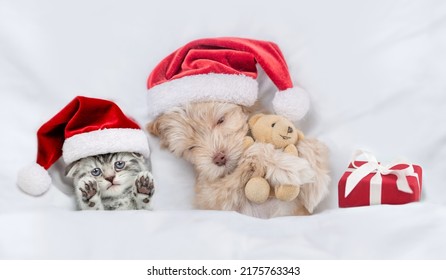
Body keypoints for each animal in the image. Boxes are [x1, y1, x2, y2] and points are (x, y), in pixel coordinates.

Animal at [148, 101, 330, 218]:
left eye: (221, 120)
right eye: (191, 148)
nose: (219, 158)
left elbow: (311, 144)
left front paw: (315, 183)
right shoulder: (213, 198)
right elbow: (254, 153)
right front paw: (289, 167)